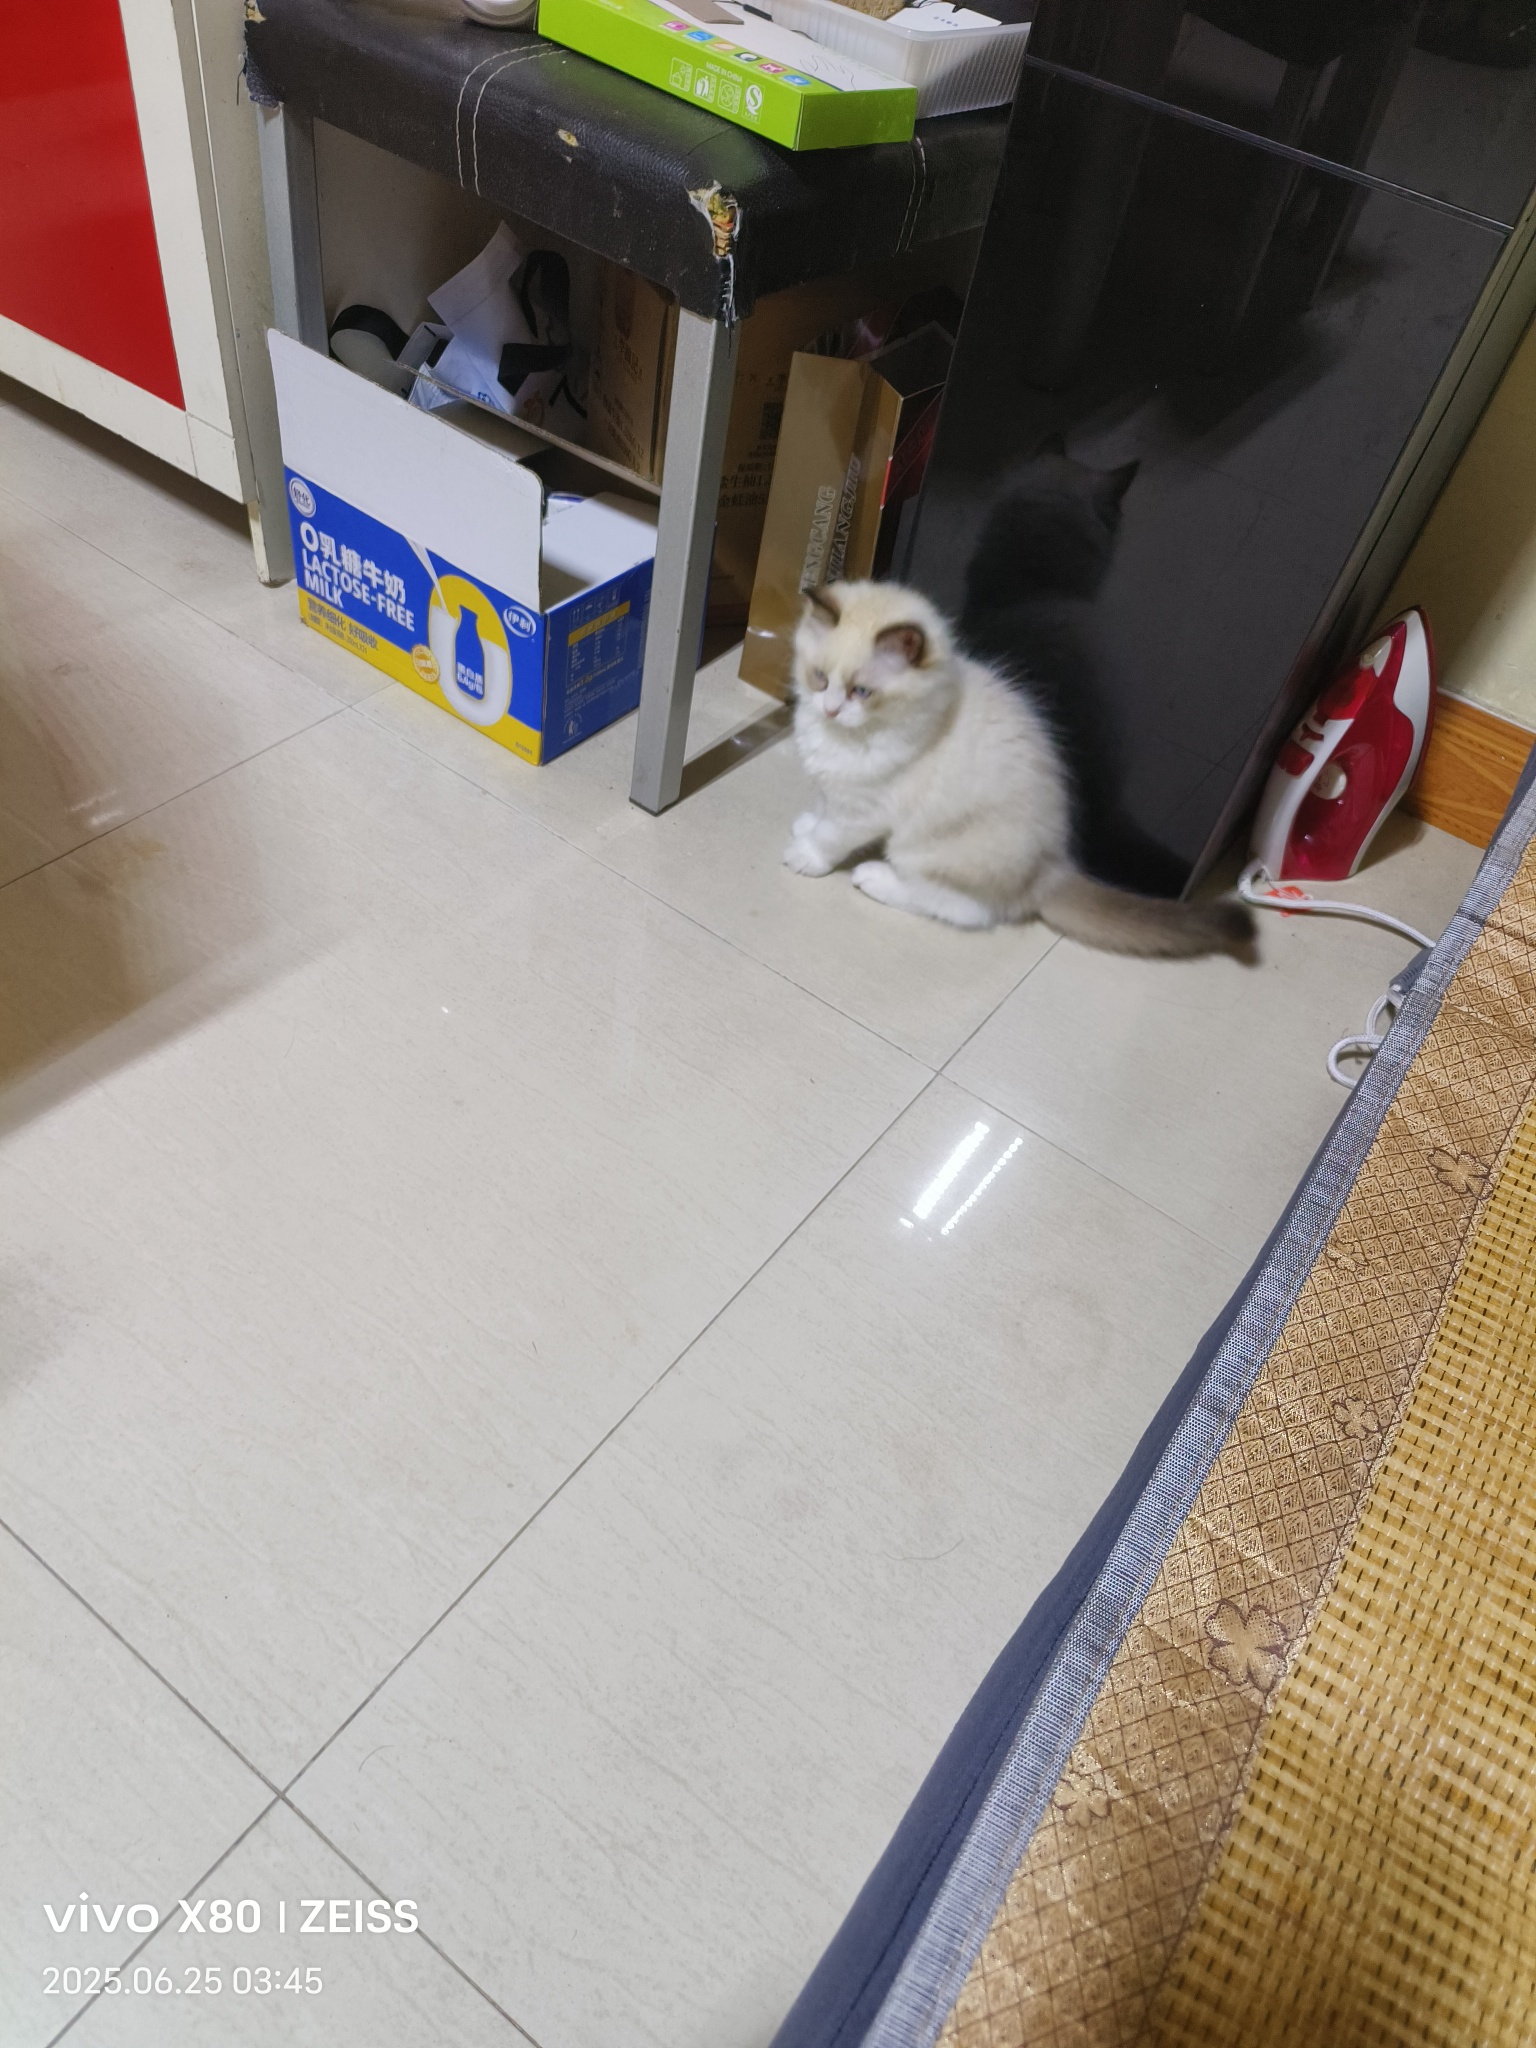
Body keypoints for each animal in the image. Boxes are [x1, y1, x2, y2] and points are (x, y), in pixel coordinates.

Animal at [783, 579, 1254, 957]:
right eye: (820, 679)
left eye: (861, 692)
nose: (829, 710)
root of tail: (1054, 867)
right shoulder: (835, 787)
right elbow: (821, 812)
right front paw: (803, 826)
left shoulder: (863, 809)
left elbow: (830, 837)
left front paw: (804, 856)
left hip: (924, 850)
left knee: (963, 909)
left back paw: (873, 878)